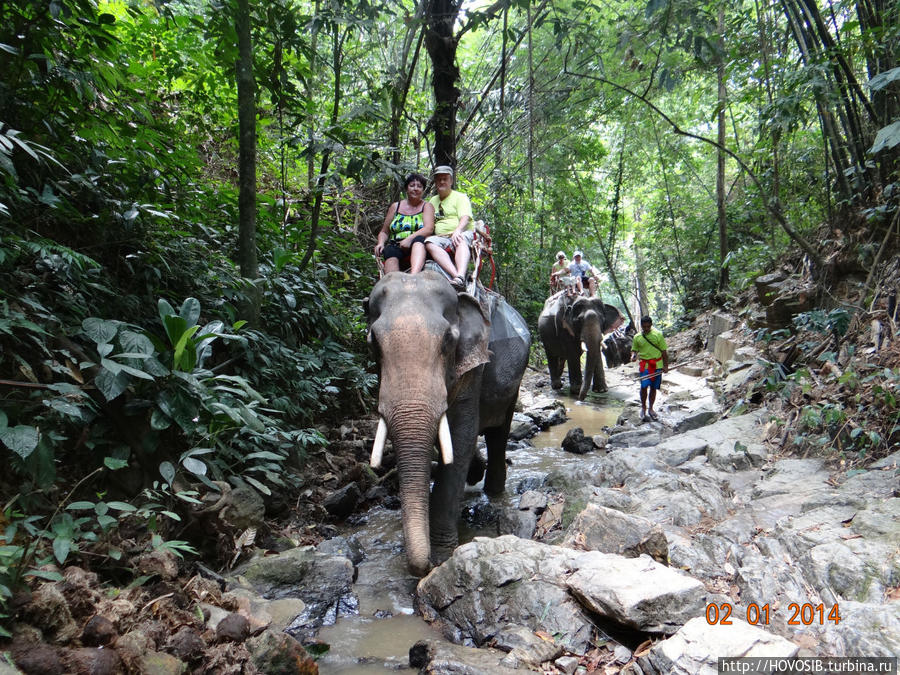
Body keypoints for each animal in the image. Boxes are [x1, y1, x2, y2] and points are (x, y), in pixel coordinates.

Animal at [366, 272, 532, 580]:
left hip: (513, 386)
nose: (424, 567)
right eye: (374, 343)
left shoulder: (473, 370)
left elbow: (461, 435)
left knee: (498, 433)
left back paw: (493, 490)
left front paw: (443, 555)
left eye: (447, 341)